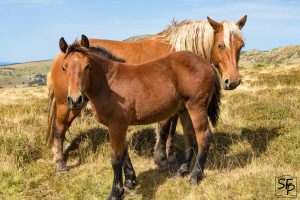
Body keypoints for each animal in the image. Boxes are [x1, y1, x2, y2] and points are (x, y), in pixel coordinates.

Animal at [48, 16, 247, 175]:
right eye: (220, 45)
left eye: (241, 46)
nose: (233, 81)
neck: (177, 50)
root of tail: (59, 55)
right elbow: (164, 130)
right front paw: (162, 160)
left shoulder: (176, 106)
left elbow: (171, 131)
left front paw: (171, 157)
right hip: (68, 104)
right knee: (59, 129)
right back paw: (60, 164)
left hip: (76, 103)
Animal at [58, 36, 221, 200]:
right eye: (64, 68)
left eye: (87, 66)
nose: (75, 100)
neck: (110, 83)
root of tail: (206, 62)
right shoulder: (119, 126)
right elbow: (124, 153)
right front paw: (130, 181)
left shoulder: (116, 125)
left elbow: (116, 158)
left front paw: (115, 192)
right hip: (184, 109)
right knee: (190, 137)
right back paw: (181, 171)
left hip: (197, 106)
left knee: (203, 136)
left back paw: (195, 177)